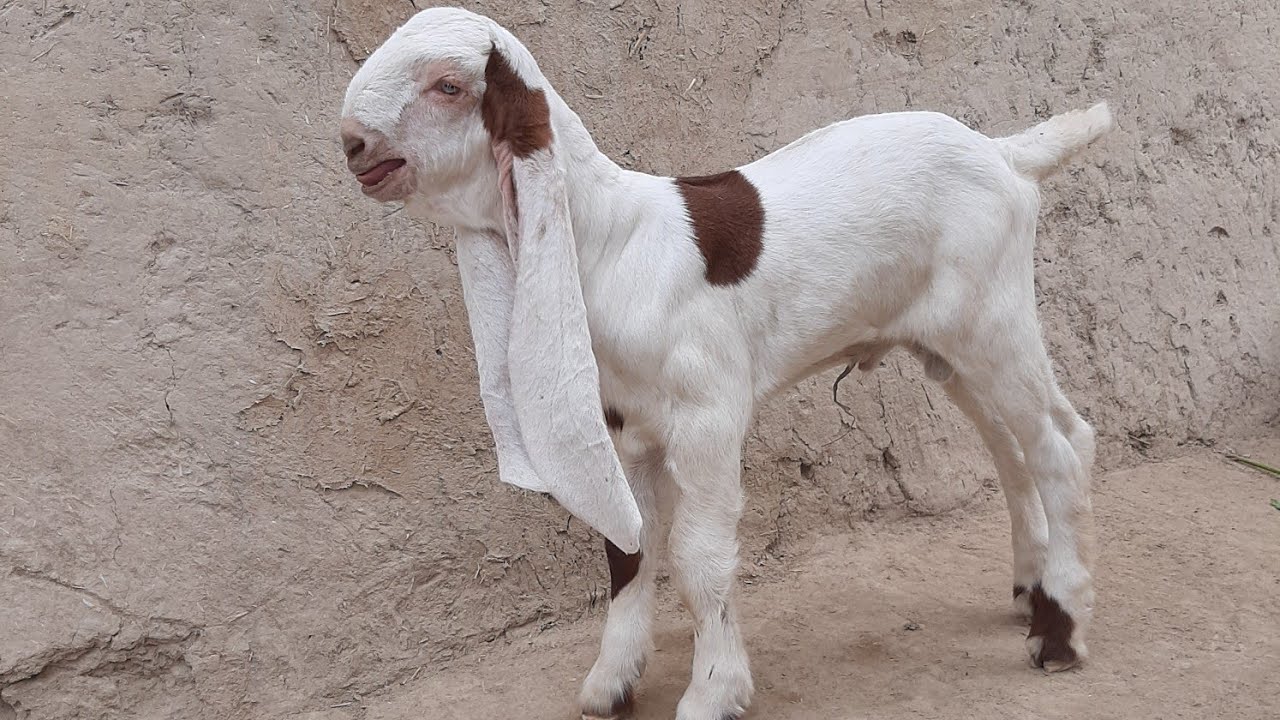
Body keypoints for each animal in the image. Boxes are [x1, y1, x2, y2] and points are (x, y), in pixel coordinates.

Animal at [339, 8, 1113, 719]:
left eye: (448, 85)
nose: (352, 143)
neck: (610, 243)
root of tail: (1006, 154)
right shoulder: (626, 425)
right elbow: (628, 548)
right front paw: (612, 681)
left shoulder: (705, 412)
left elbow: (699, 556)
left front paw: (714, 690)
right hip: (948, 343)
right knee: (1010, 448)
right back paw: (1030, 591)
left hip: (994, 317)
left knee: (1061, 443)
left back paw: (1060, 633)